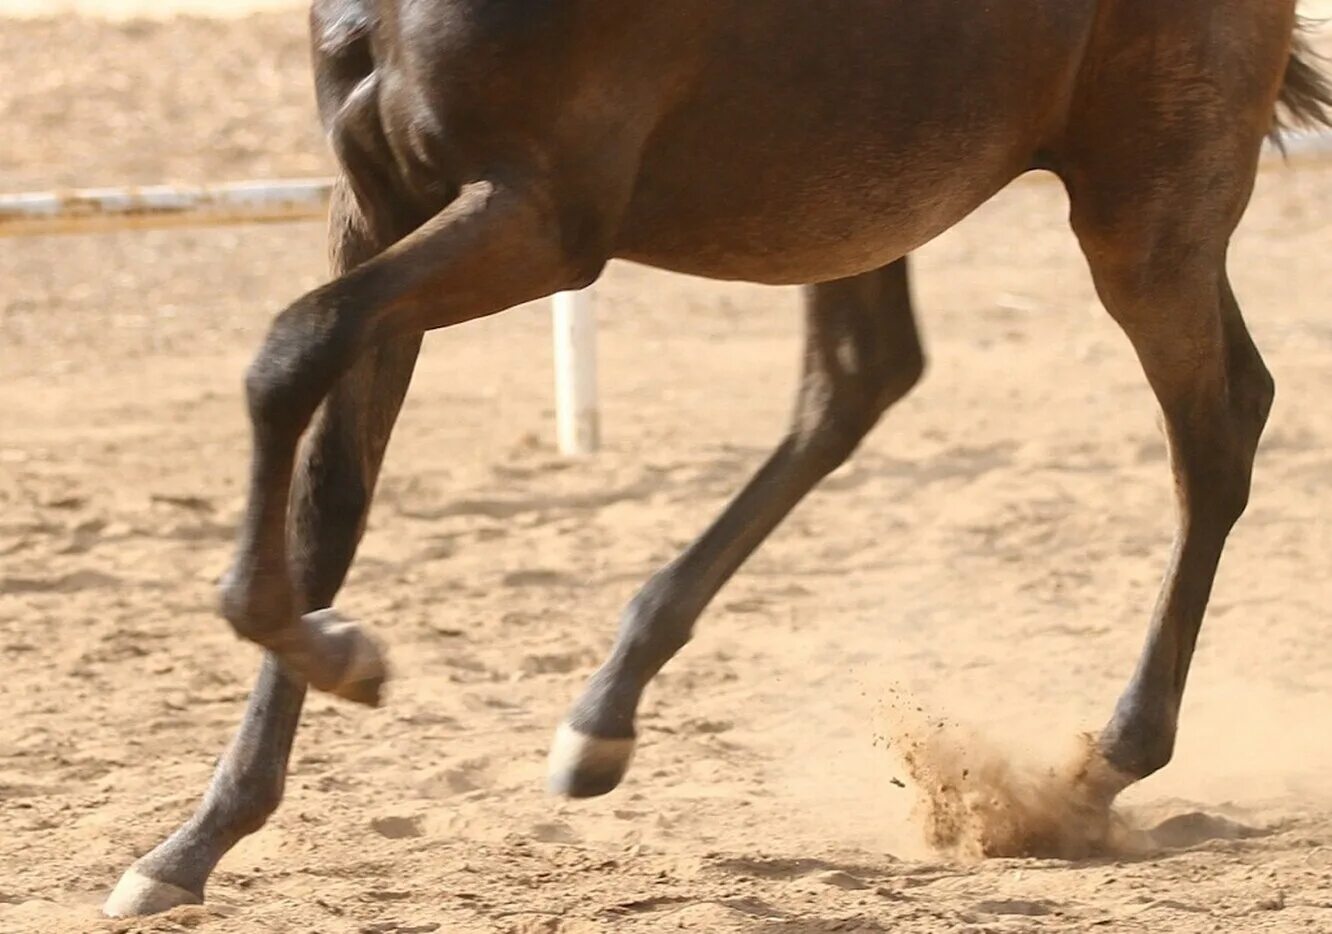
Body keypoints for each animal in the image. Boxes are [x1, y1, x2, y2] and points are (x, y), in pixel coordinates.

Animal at [106, 0, 1332, 916]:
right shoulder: (379, 197)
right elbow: (329, 493)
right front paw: (193, 843)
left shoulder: (544, 216)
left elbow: (286, 352)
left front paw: (352, 661)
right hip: (856, 187)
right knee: (858, 381)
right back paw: (602, 719)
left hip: (1143, 206)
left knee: (1217, 428)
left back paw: (1104, 762)